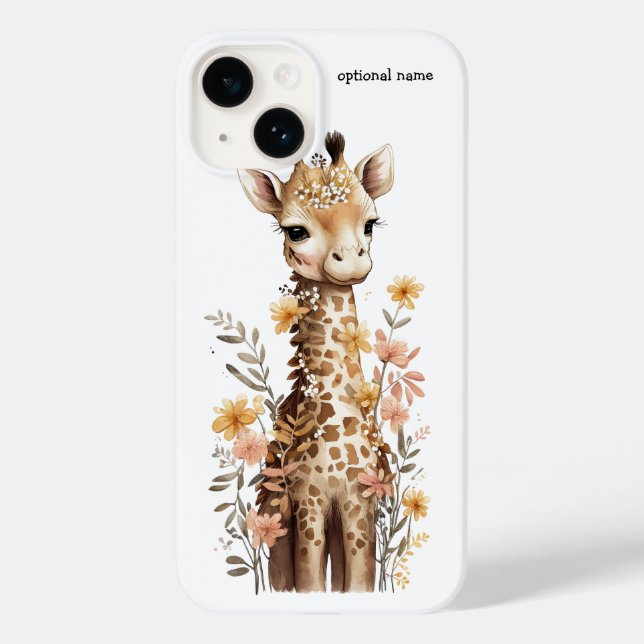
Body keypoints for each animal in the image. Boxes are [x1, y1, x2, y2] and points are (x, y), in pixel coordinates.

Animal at [238, 132, 394, 592]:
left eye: (370, 223)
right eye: (296, 231)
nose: (353, 259)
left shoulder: (360, 499)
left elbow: (359, 582)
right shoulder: (308, 498)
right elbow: (309, 581)